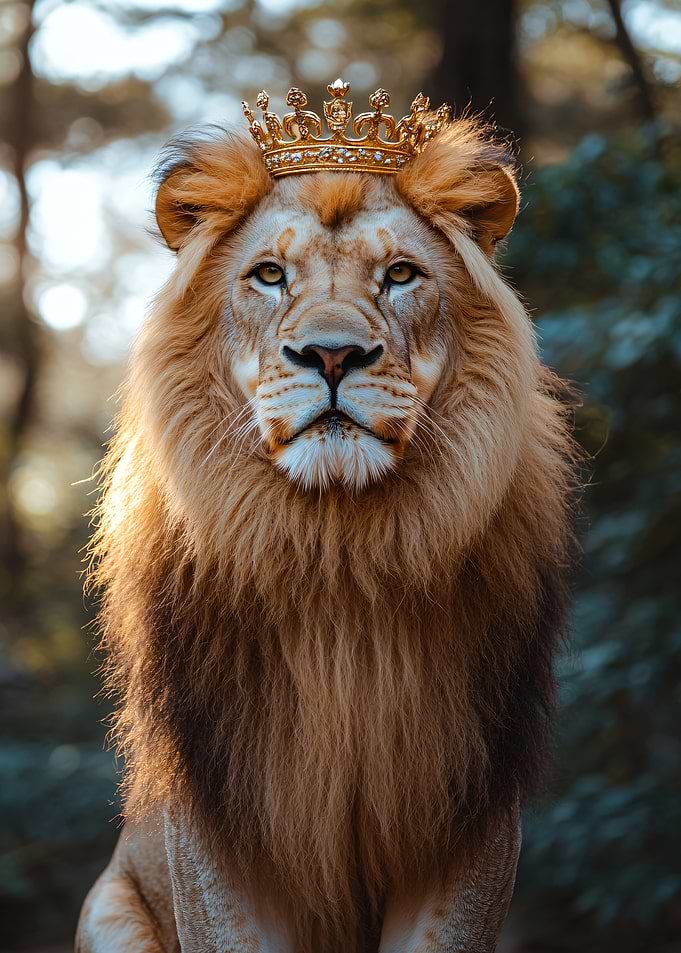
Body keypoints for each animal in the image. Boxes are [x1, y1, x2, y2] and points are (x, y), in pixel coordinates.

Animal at [76, 114, 574, 953]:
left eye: (400, 274)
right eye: (269, 275)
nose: (332, 354)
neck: (335, 551)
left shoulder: (470, 810)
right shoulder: (216, 818)